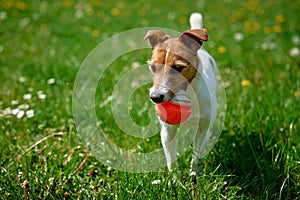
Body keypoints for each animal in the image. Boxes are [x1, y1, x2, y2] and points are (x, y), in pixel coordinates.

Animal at [144, 12, 217, 176]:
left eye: (178, 67)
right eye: (153, 68)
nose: (155, 98)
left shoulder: (202, 127)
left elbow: (196, 157)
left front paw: (195, 177)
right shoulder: (167, 131)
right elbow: (171, 160)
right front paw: (175, 180)